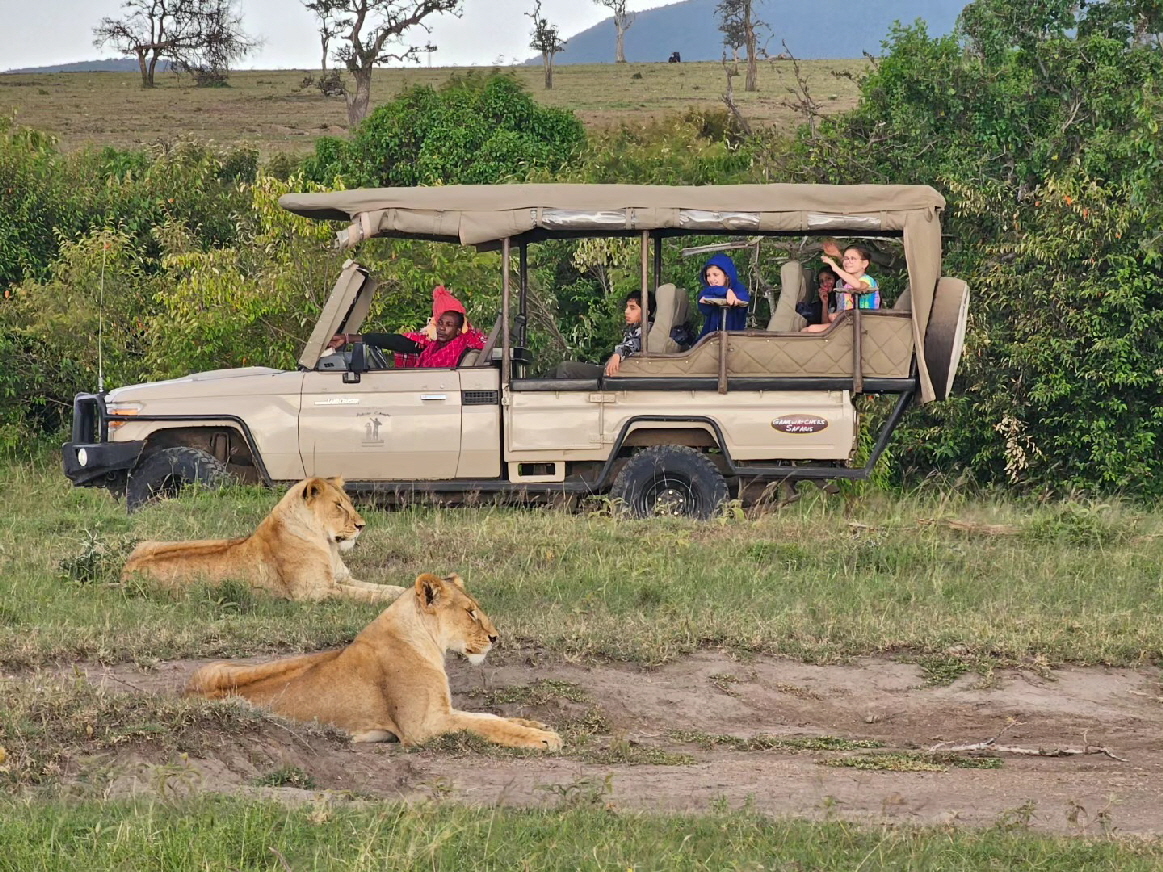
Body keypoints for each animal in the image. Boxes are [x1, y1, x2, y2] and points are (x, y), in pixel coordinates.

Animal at [122, 477, 405, 604]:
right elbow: (365, 594)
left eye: (349, 502)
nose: (362, 526)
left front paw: (403, 591)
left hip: (149, 542)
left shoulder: (342, 579)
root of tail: (125, 570)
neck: (328, 545)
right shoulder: (314, 593)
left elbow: (382, 587)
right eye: (338, 506)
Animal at [185, 572, 563, 750]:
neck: (426, 642)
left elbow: (488, 717)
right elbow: (485, 726)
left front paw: (536, 725)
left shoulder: (441, 711)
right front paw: (543, 739)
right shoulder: (423, 727)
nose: (496, 637)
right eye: (470, 612)